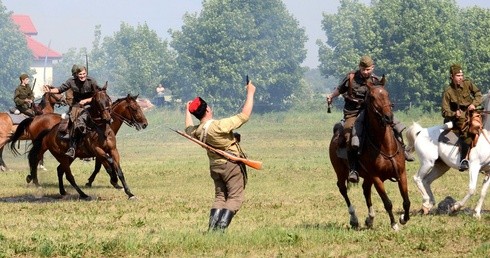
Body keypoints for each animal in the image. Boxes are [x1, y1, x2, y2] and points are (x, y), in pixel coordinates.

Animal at [9, 93, 147, 188]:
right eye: (134, 108)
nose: (145, 124)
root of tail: (35, 118)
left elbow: (100, 166)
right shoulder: (99, 151)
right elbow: (102, 165)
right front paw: (99, 181)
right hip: (42, 146)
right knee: (36, 159)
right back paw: (35, 181)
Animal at [330, 76, 410, 230]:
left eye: (387, 94)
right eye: (372, 97)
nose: (388, 117)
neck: (385, 147)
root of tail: (336, 132)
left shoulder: (401, 174)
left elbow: (406, 200)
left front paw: (403, 218)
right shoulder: (376, 177)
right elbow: (387, 203)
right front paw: (394, 224)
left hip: (366, 177)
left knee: (365, 190)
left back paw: (370, 218)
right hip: (340, 172)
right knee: (343, 189)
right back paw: (354, 219)